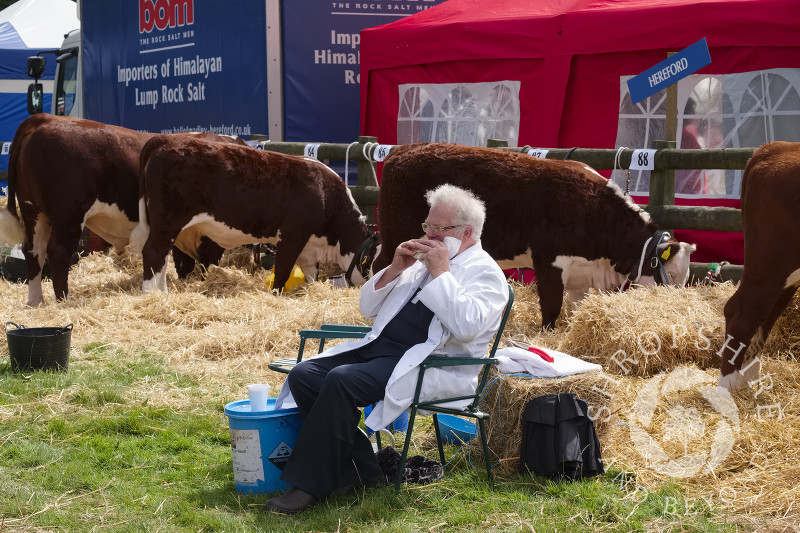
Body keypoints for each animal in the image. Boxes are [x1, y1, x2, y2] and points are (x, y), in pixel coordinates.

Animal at [0, 113, 244, 304]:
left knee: (34, 252)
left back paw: (35, 301)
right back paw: (64, 301)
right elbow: (205, 260)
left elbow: (180, 261)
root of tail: (44, 118)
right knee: (58, 253)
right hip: (68, 218)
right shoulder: (208, 230)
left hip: (33, 212)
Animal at [129, 133, 376, 290]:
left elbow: (311, 275)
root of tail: (164, 139)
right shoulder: (292, 234)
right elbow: (282, 271)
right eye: (373, 262)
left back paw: (163, 292)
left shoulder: (309, 248)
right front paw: (276, 295)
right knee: (153, 252)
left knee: (163, 259)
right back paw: (152, 294)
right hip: (166, 222)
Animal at [376, 141, 692, 328]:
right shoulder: (549, 262)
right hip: (395, 235)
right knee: (381, 268)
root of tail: (403, 149)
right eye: (673, 274)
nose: (676, 307)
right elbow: (551, 307)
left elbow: (575, 309)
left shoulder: (581, 274)